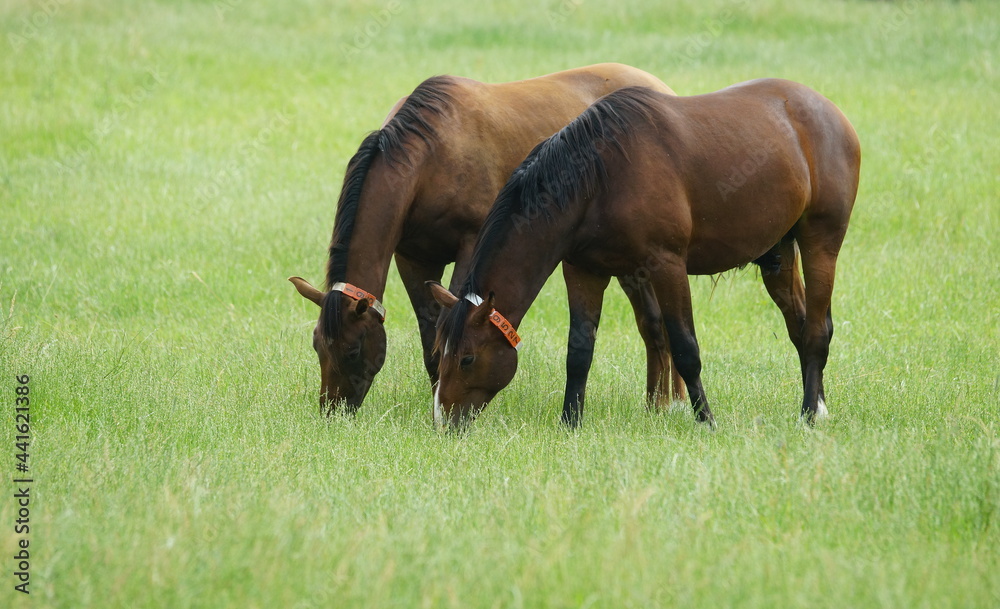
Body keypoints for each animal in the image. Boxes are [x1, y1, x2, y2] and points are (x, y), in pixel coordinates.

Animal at [286, 65, 684, 418]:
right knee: (652, 323)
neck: (430, 154)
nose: (333, 411)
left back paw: (672, 401)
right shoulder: (412, 259)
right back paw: (659, 402)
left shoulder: (469, 245)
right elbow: (430, 337)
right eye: (317, 345)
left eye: (353, 350)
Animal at [430, 78, 860, 428]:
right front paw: (570, 422)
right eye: (439, 354)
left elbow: (685, 347)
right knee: (799, 325)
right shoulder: (583, 271)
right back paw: (818, 404)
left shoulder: (667, 266)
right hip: (778, 254)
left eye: (467, 358)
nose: (443, 421)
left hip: (821, 242)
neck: (596, 179)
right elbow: (579, 350)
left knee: (816, 329)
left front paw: (706, 421)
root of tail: (831, 113)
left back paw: (809, 415)